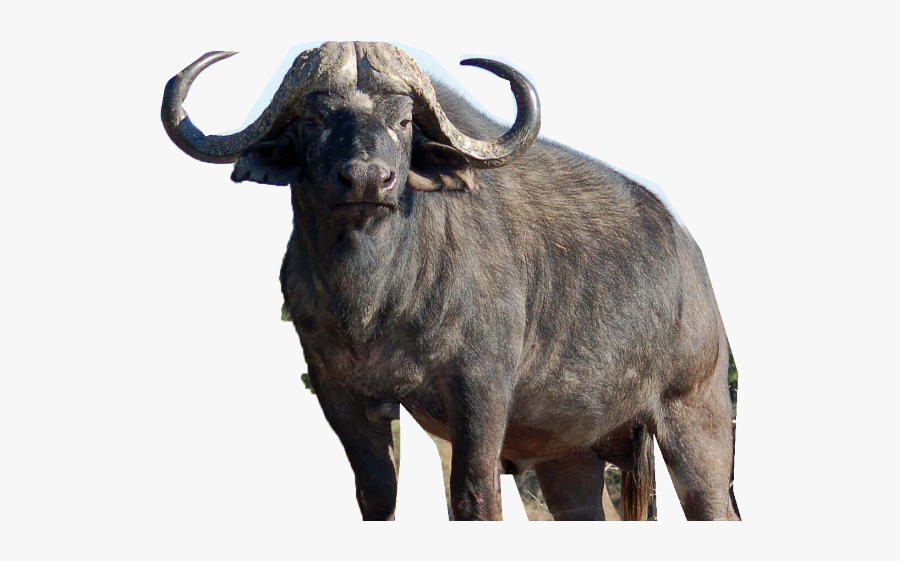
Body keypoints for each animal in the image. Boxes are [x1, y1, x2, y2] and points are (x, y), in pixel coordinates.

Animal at [161, 41, 740, 521]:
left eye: (403, 122)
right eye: (312, 119)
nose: (368, 179)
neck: (375, 302)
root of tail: (691, 258)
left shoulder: (479, 390)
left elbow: (473, 496)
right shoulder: (337, 391)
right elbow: (377, 493)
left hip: (697, 422)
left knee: (716, 506)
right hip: (569, 456)